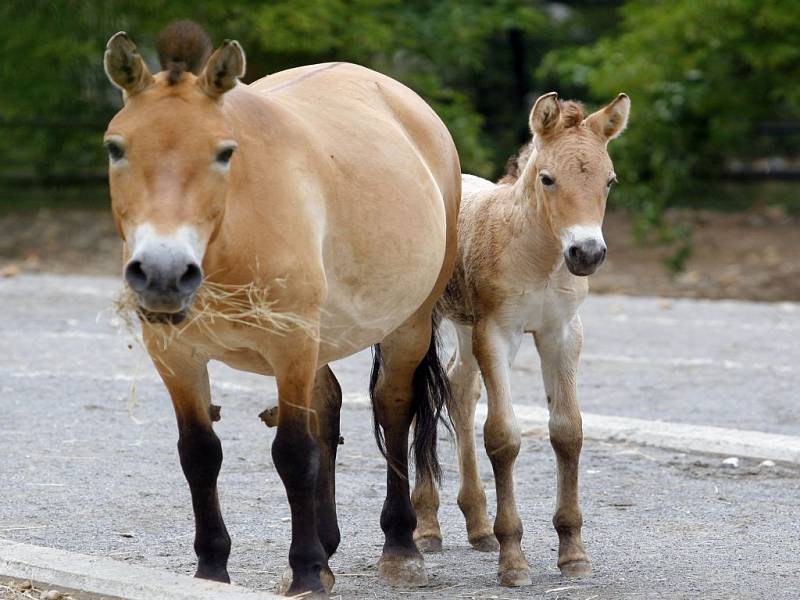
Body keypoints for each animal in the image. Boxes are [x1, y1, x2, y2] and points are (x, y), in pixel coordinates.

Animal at [103, 21, 460, 596]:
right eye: (117, 148)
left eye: (225, 152)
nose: (163, 273)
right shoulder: (176, 356)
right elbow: (199, 454)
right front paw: (212, 569)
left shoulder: (290, 344)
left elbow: (293, 453)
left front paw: (307, 572)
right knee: (329, 406)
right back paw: (330, 547)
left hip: (406, 325)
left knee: (392, 407)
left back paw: (399, 547)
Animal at [412, 92, 632, 584]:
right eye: (547, 178)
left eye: (610, 181)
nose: (587, 254)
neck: (540, 257)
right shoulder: (498, 333)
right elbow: (503, 436)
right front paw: (513, 560)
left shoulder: (562, 334)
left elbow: (567, 431)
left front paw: (573, 553)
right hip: (422, 322)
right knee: (412, 397)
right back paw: (426, 528)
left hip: (465, 325)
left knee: (458, 388)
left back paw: (477, 527)